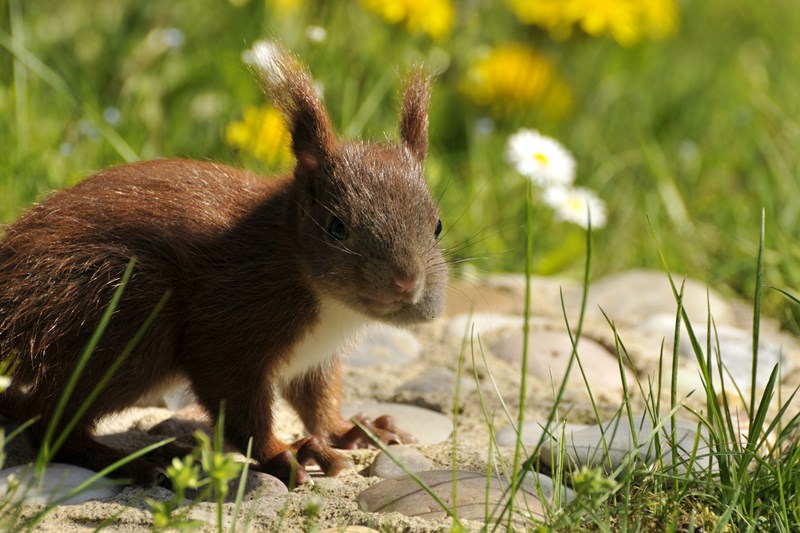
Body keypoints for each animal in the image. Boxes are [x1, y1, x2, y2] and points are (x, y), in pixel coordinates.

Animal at [0, 40, 446, 482]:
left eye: (438, 225)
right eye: (336, 226)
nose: (406, 281)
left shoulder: (315, 357)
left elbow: (317, 400)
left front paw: (353, 431)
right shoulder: (227, 320)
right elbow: (238, 404)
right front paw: (286, 455)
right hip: (125, 310)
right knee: (49, 424)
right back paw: (130, 461)